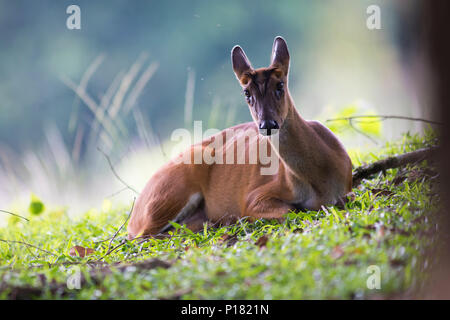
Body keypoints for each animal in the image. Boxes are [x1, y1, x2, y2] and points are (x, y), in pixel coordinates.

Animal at [126, 36, 352, 239]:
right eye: (246, 92)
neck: (320, 179)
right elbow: (289, 210)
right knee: (143, 235)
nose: (267, 124)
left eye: (280, 85)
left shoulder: (347, 188)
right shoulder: (254, 196)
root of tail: (133, 216)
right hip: (173, 186)